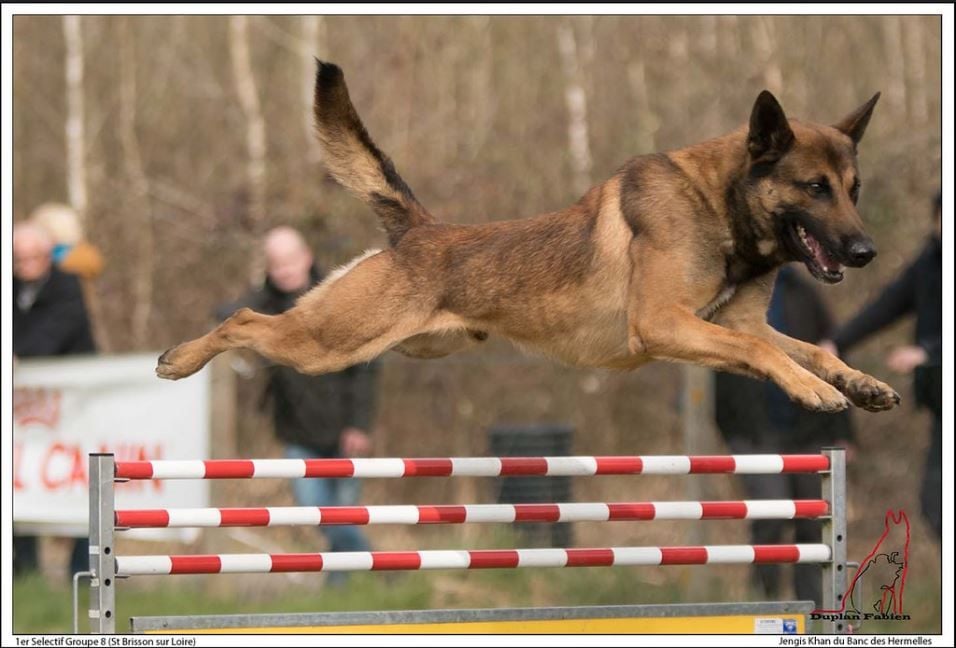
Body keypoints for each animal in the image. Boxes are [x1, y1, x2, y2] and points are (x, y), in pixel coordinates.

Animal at [155, 62, 896, 416]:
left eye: (854, 189)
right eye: (815, 188)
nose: (866, 253)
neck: (718, 206)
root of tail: (419, 229)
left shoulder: (731, 324)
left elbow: (801, 349)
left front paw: (856, 383)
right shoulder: (664, 324)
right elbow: (762, 351)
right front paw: (815, 393)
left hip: (403, 343)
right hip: (328, 342)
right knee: (244, 318)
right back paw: (180, 360)